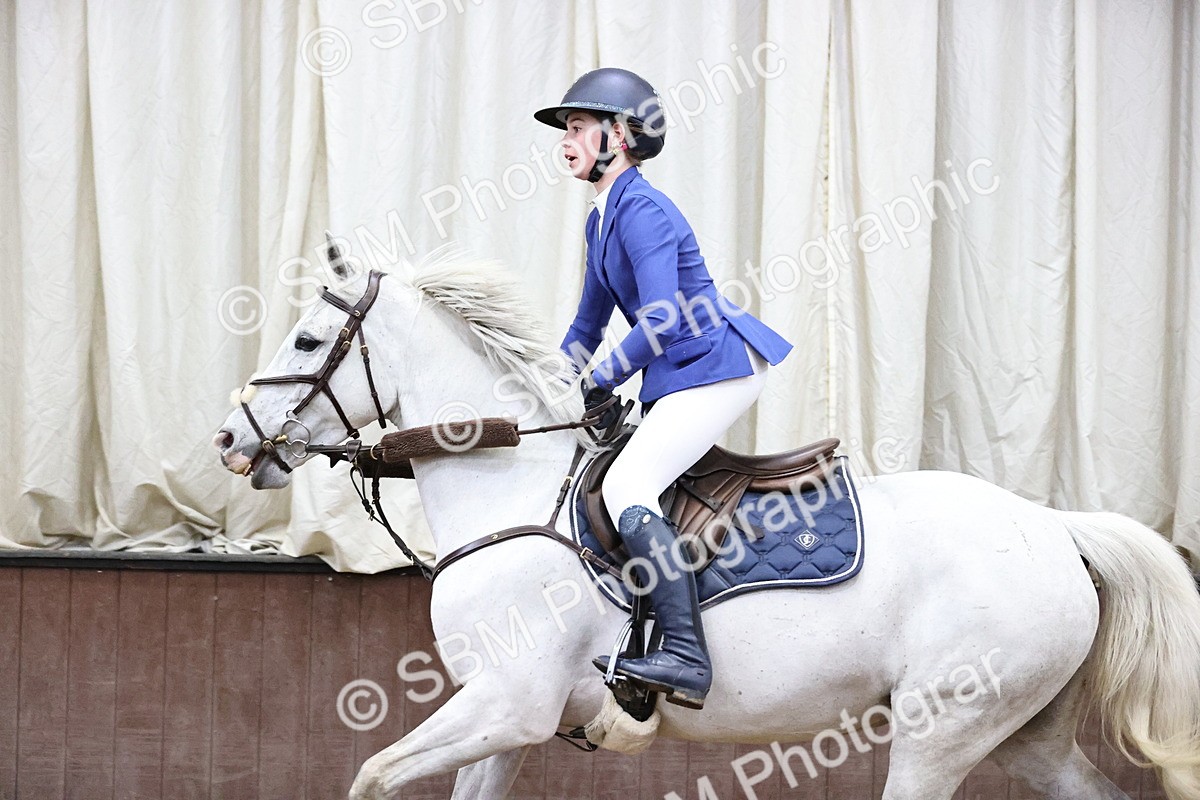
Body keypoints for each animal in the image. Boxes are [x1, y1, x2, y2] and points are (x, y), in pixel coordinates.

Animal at [213, 253, 1200, 800]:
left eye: (308, 343)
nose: (230, 440)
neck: (512, 493)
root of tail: (1055, 527)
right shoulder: (510, 724)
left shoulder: (505, 703)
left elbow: (371, 774)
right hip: (1027, 734)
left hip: (943, 727)